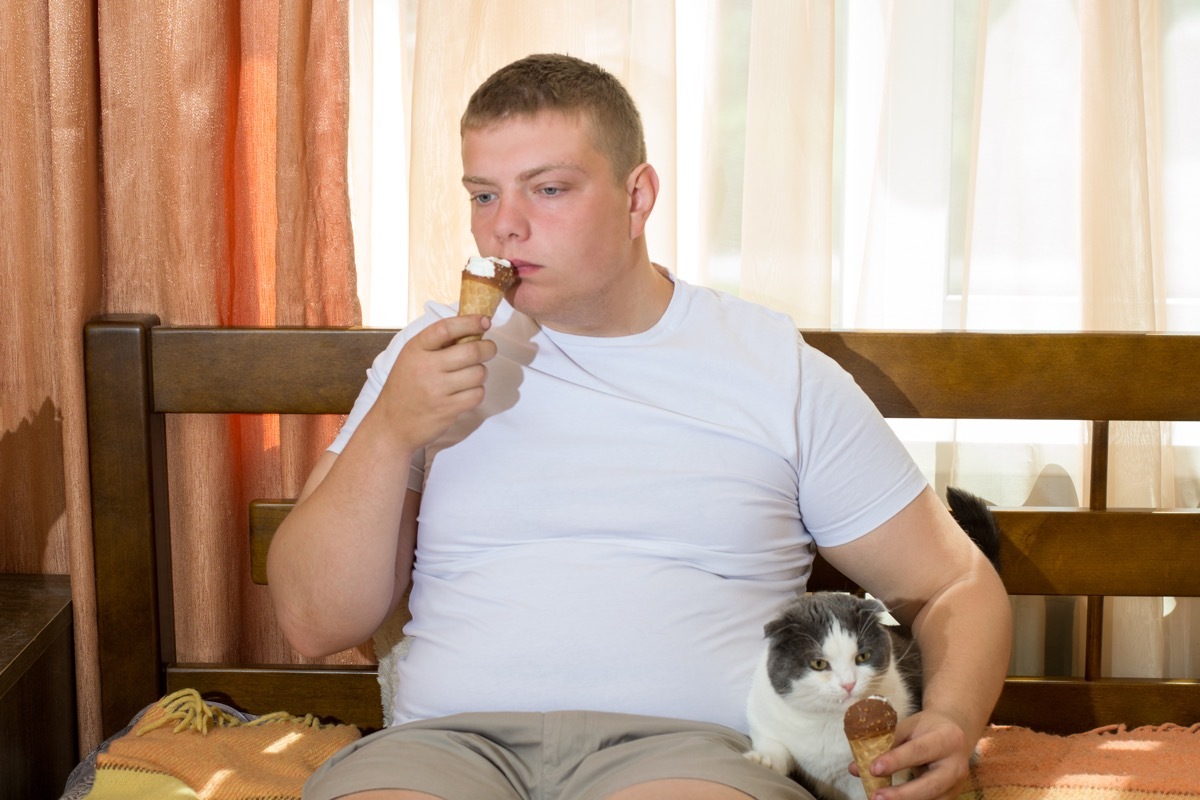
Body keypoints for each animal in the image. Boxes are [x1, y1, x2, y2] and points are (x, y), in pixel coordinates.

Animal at [744, 489, 998, 800]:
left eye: (862, 657)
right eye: (818, 663)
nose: (849, 684)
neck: (824, 722)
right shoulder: (764, 720)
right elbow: (775, 748)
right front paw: (760, 760)